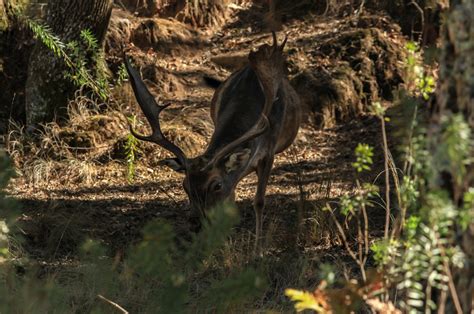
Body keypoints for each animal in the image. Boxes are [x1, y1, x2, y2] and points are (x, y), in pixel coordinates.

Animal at [124, 32, 302, 250]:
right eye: (185, 185)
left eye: (216, 185)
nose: (195, 224)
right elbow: (229, 202)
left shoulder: (268, 153)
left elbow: (259, 201)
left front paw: (257, 250)